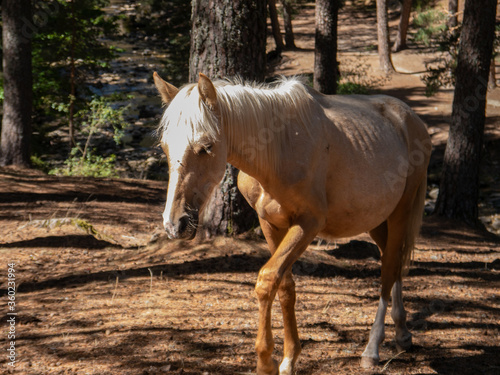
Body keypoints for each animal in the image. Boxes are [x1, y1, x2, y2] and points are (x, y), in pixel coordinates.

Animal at [154, 72, 432, 374]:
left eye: (206, 147)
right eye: (164, 147)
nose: (174, 224)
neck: (279, 150)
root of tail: (411, 119)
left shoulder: (308, 224)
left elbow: (267, 279)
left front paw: (266, 361)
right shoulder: (270, 223)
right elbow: (285, 285)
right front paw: (289, 358)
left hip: (401, 211)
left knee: (390, 266)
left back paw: (372, 348)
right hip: (375, 218)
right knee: (392, 260)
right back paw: (402, 333)